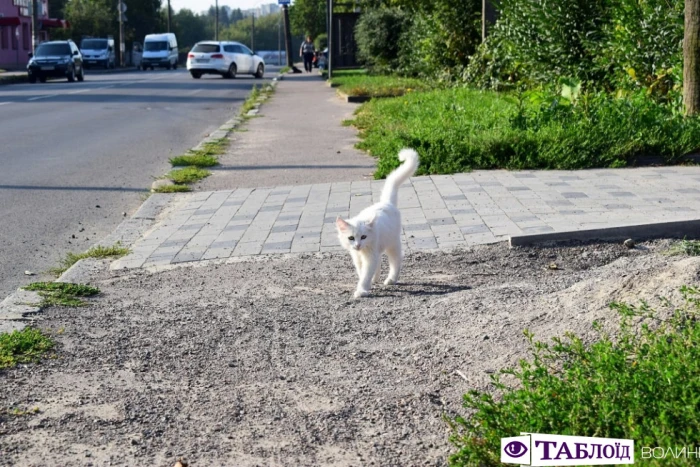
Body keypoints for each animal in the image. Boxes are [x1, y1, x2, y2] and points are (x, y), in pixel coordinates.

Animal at [336, 148, 418, 298]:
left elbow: (365, 275)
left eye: (364, 237)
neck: (362, 251)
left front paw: (362, 290)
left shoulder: (370, 255)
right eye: (351, 238)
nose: (358, 245)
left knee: (396, 261)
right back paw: (376, 278)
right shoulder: (357, 257)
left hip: (393, 244)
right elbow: (362, 272)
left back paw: (391, 279)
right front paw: (368, 283)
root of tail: (386, 203)